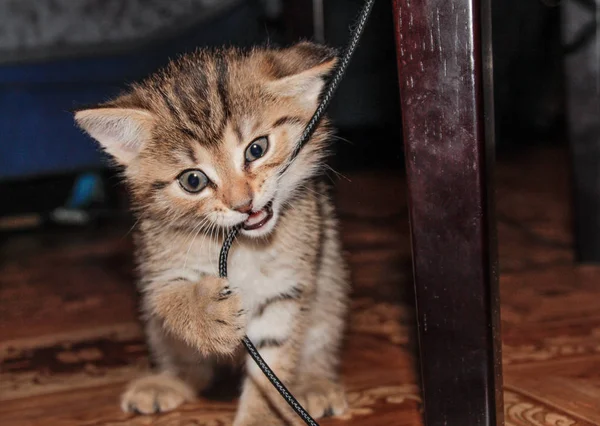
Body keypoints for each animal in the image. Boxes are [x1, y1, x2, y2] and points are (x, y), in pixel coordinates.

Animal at [73, 41, 350, 424]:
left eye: (257, 149)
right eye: (193, 181)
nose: (243, 204)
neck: (244, 247)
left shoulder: (287, 287)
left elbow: (273, 363)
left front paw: (263, 416)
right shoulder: (156, 265)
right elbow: (170, 298)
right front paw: (204, 313)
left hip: (330, 282)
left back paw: (314, 383)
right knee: (191, 365)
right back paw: (168, 381)